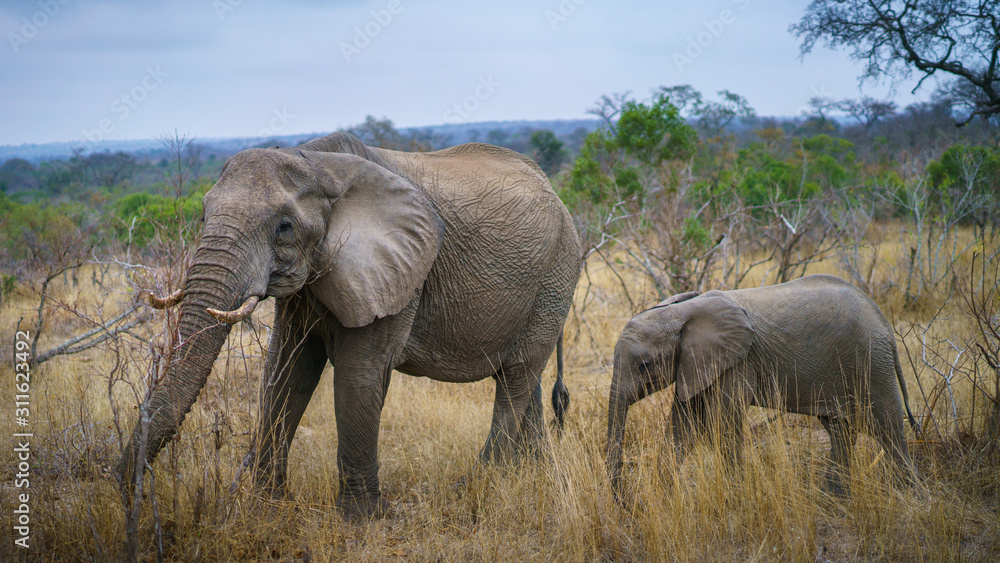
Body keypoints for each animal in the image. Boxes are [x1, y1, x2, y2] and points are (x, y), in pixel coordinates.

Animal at [116, 132, 582, 518]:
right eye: (202, 216)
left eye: (283, 227)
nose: (129, 490)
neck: (317, 161)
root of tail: (555, 193)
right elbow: (287, 371)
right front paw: (268, 506)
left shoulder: (399, 276)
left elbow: (358, 376)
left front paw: (361, 518)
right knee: (524, 377)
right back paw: (530, 475)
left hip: (556, 276)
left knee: (516, 379)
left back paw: (473, 487)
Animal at [606, 274, 919, 496]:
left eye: (644, 365)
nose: (626, 502)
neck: (682, 312)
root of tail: (883, 321)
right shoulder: (696, 362)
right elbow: (683, 425)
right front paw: (664, 496)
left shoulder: (738, 362)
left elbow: (723, 424)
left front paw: (735, 498)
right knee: (840, 430)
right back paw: (833, 499)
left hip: (872, 362)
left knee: (888, 428)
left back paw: (911, 497)